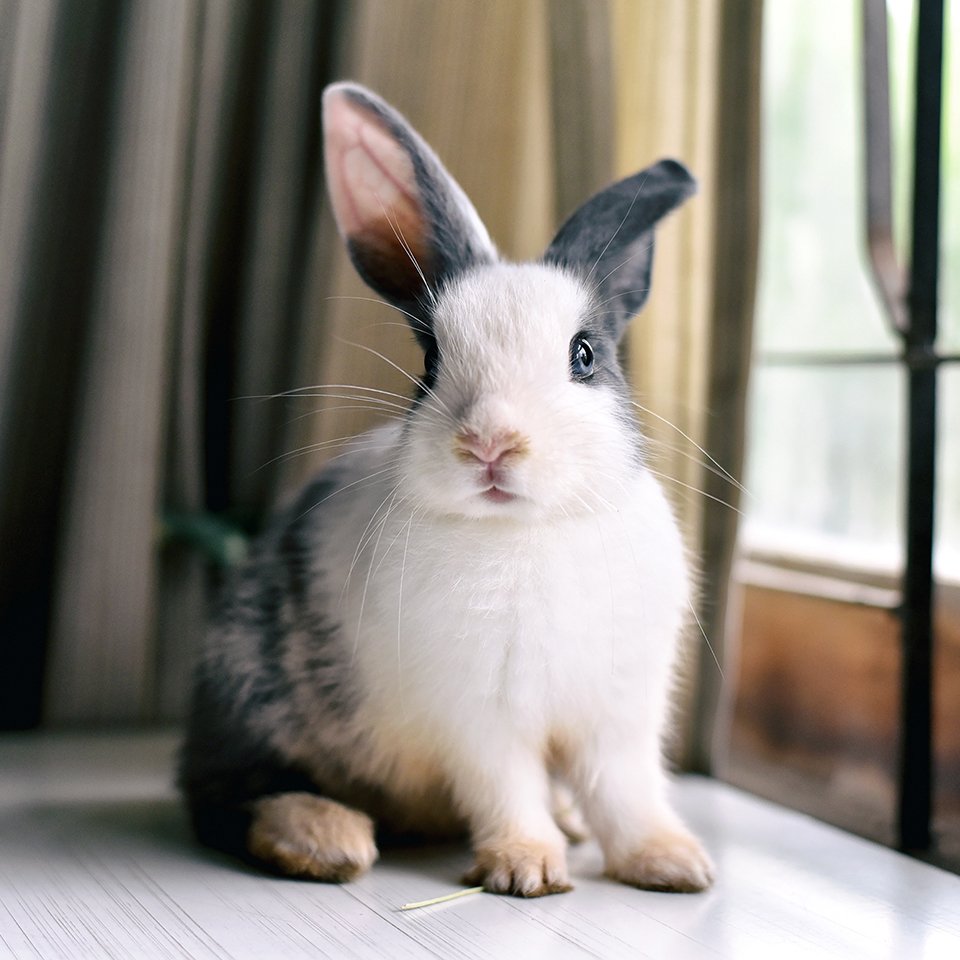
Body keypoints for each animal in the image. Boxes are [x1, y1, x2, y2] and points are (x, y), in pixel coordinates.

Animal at [179, 81, 715, 897]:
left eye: (585, 355)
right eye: (430, 360)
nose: (490, 443)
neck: (528, 532)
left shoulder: (618, 715)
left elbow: (626, 792)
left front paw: (674, 864)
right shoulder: (479, 718)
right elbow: (507, 788)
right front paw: (527, 869)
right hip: (250, 691)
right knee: (225, 795)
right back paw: (326, 837)